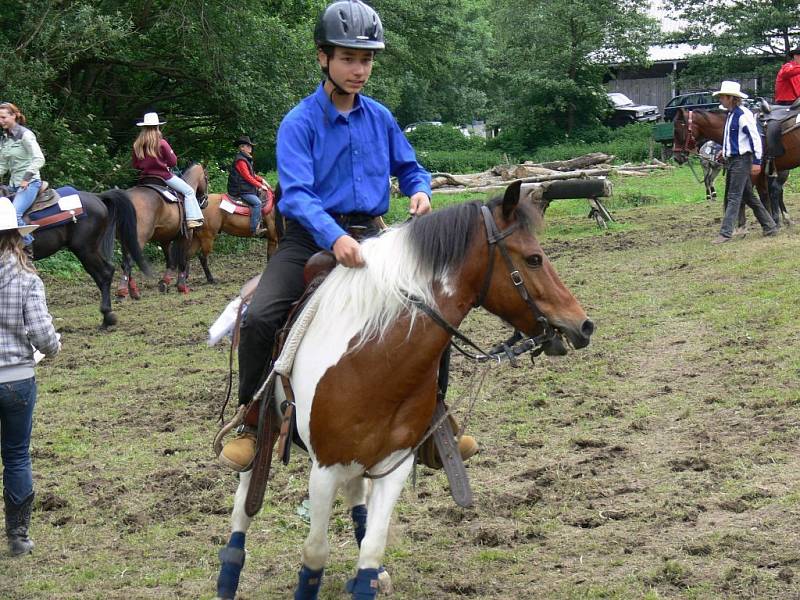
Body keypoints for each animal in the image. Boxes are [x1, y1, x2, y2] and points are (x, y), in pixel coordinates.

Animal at [0, 188, 148, 328]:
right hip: (89, 250)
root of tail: (97, 197)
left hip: (85, 250)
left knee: (105, 272)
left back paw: (107, 316)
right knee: (102, 274)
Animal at [117, 163, 209, 296]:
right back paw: (123, 292)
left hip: (124, 240)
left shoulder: (165, 239)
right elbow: (182, 260)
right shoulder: (187, 236)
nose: (205, 201)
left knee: (125, 263)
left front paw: (165, 282)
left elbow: (170, 261)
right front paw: (182, 287)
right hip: (138, 239)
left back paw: (133, 291)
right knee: (129, 262)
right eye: (206, 178)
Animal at [214, 180, 592, 600]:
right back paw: (228, 572)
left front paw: (370, 574)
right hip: (264, 434)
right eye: (534, 259)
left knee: (356, 497)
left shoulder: (394, 463)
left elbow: (371, 549)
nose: (583, 325)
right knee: (244, 502)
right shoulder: (324, 468)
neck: (372, 358)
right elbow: (314, 553)